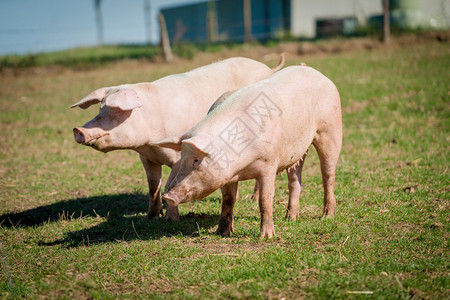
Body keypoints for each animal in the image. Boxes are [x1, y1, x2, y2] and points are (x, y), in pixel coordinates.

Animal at [70, 56, 284, 220]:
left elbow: (167, 184)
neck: (149, 142)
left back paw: (253, 199)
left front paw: (171, 219)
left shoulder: (178, 157)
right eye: (100, 109)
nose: (78, 130)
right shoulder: (146, 158)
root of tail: (267, 67)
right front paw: (151, 216)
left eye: (117, 111)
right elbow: (152, 186)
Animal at [153, 65, 342, 237]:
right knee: (295, 179)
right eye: (182, 157)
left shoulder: (269, 163)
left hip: (330, 129)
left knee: (328, 174)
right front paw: (221, 233)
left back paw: (327, 216)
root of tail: (316, 72)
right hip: (298, 149)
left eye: (196, 160)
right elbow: (228, 200)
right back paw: (290, 218)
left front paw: (266, 237)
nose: (168, 196)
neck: (241, 167)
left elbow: (265, 200)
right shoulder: (227, 175)